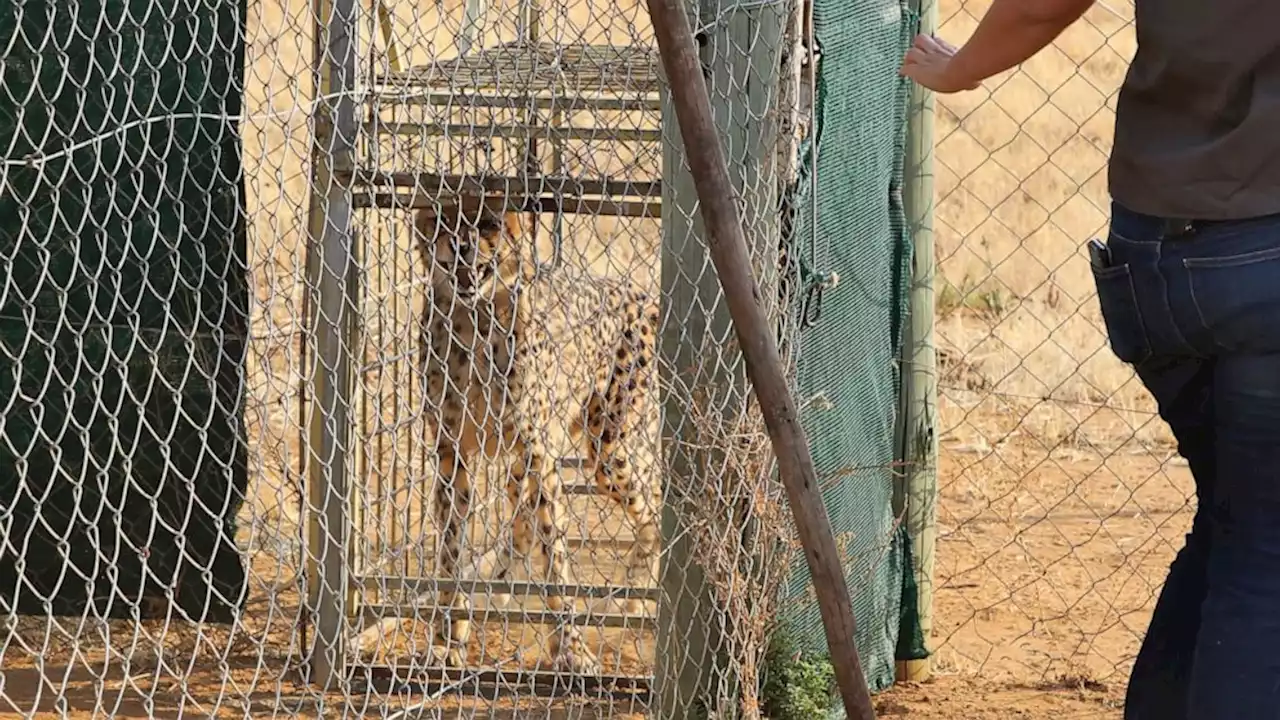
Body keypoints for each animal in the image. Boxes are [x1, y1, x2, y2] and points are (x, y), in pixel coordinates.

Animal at [417, 193, 660, 671]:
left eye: (488, 223)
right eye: (442, 219)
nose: (462, 245)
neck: (476, 319)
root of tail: (634, 290)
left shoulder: (540, 455)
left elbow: (555, 556)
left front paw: (571, 648)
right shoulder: (453, 453)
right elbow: (451, 550)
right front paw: (447, 637)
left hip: (611, 449)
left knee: (655, 502)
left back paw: (637, 596)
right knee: (520, 515)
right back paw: (497, 586)